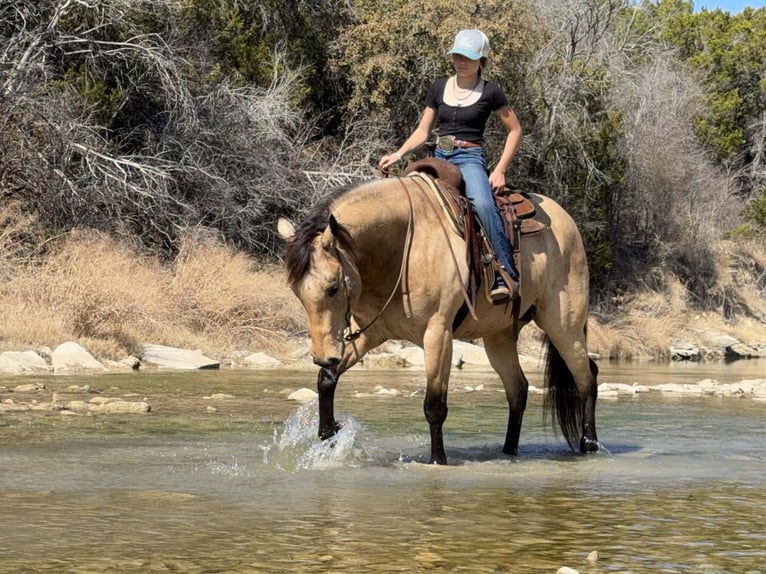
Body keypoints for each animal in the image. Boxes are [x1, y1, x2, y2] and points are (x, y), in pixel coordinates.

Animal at [278, 167, 599, 465]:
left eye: (333, 287)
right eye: (296, 291)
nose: (322, 356)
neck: (403, 246)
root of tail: (566, 221)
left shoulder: (438, 334)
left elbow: (434, 405)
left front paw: (437, 460)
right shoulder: (371, 333)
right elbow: (327, 378)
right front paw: (329, 431)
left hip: (563, 326)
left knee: (586, 377)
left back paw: (590, 445)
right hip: (499, 337)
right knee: (518, 389)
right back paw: (509, 451)